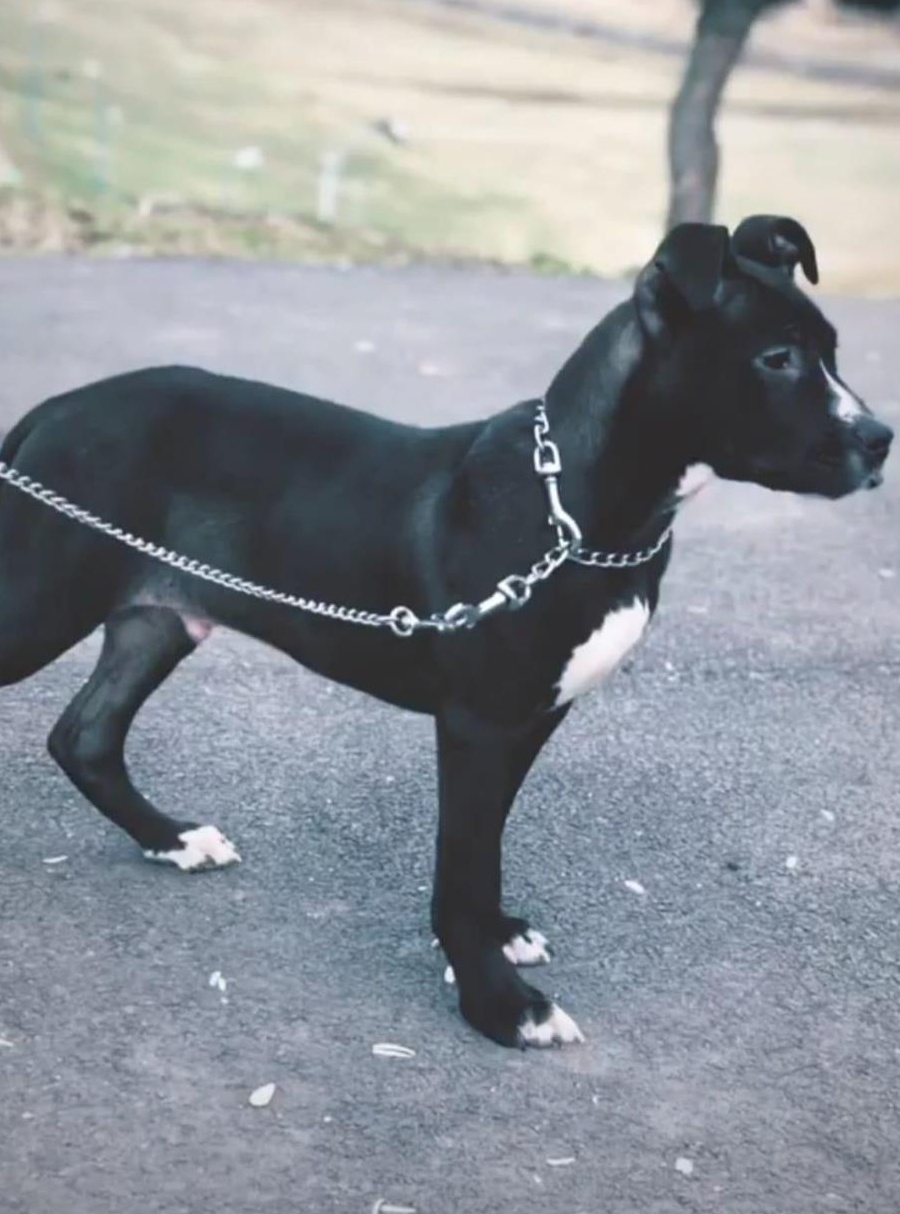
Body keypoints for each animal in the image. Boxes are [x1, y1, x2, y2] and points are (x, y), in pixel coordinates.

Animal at [0, 216, 891, 1047]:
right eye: (777, 359)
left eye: (831, 352)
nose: (881, 440)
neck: (574, 507)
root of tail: (49, 412)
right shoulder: (479, 722)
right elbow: (465, 860)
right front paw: (500, 1005)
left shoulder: (531, 715)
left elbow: (484, 847)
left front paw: (495, 942)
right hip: (42, 601)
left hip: (161, 616)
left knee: (85, 735)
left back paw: (173, 839)